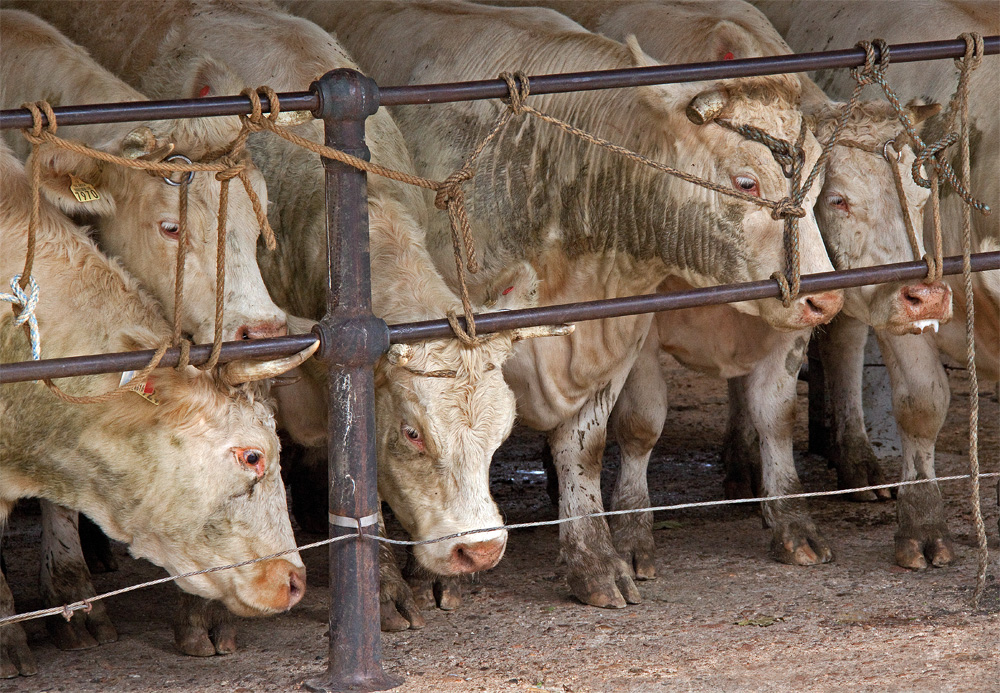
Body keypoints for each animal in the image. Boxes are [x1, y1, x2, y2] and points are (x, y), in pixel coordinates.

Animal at [290, 0, 844, 604]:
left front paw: (594, 561)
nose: (825, 297)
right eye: (746, 183)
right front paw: (432, 574)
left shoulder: (618, 336)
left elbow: (587, 448)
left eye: (819, 181)